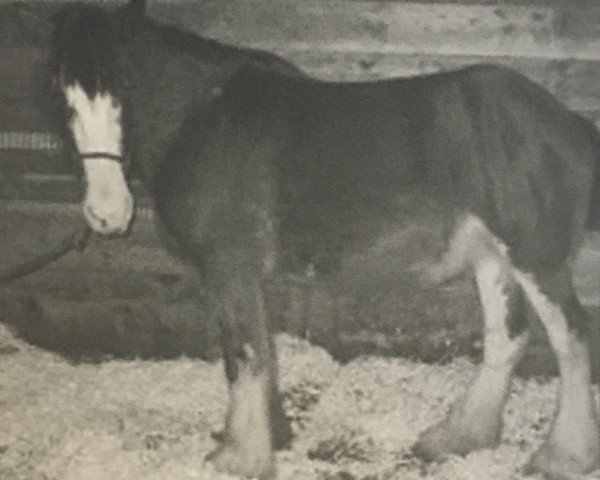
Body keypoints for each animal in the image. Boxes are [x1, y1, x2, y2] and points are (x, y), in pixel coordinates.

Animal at [51, 0, 600, 480]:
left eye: (126, 82)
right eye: (64, 95)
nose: (107, 214)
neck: (203, 117)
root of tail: (568, 123)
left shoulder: (229, 268)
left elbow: (243, 356)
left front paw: (240, 459)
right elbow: (255, 354)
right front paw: (264, 437)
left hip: (536, 257)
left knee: (571, 338)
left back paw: (562, 457)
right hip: (493, 258)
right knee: (507, 338)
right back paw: (458, 437)